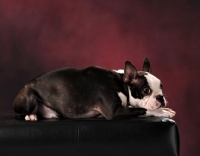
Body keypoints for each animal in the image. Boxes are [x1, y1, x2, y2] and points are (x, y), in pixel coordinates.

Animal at [12, 58, 175, 120]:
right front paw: (162, 112)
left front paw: (165, 109)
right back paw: (30, 116)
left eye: (161, 87)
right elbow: (144, 109)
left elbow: (138, 109)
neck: (120, 83)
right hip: (29, 97)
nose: (161, 97)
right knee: (20, 113)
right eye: (146, 91)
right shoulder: (113, 112)